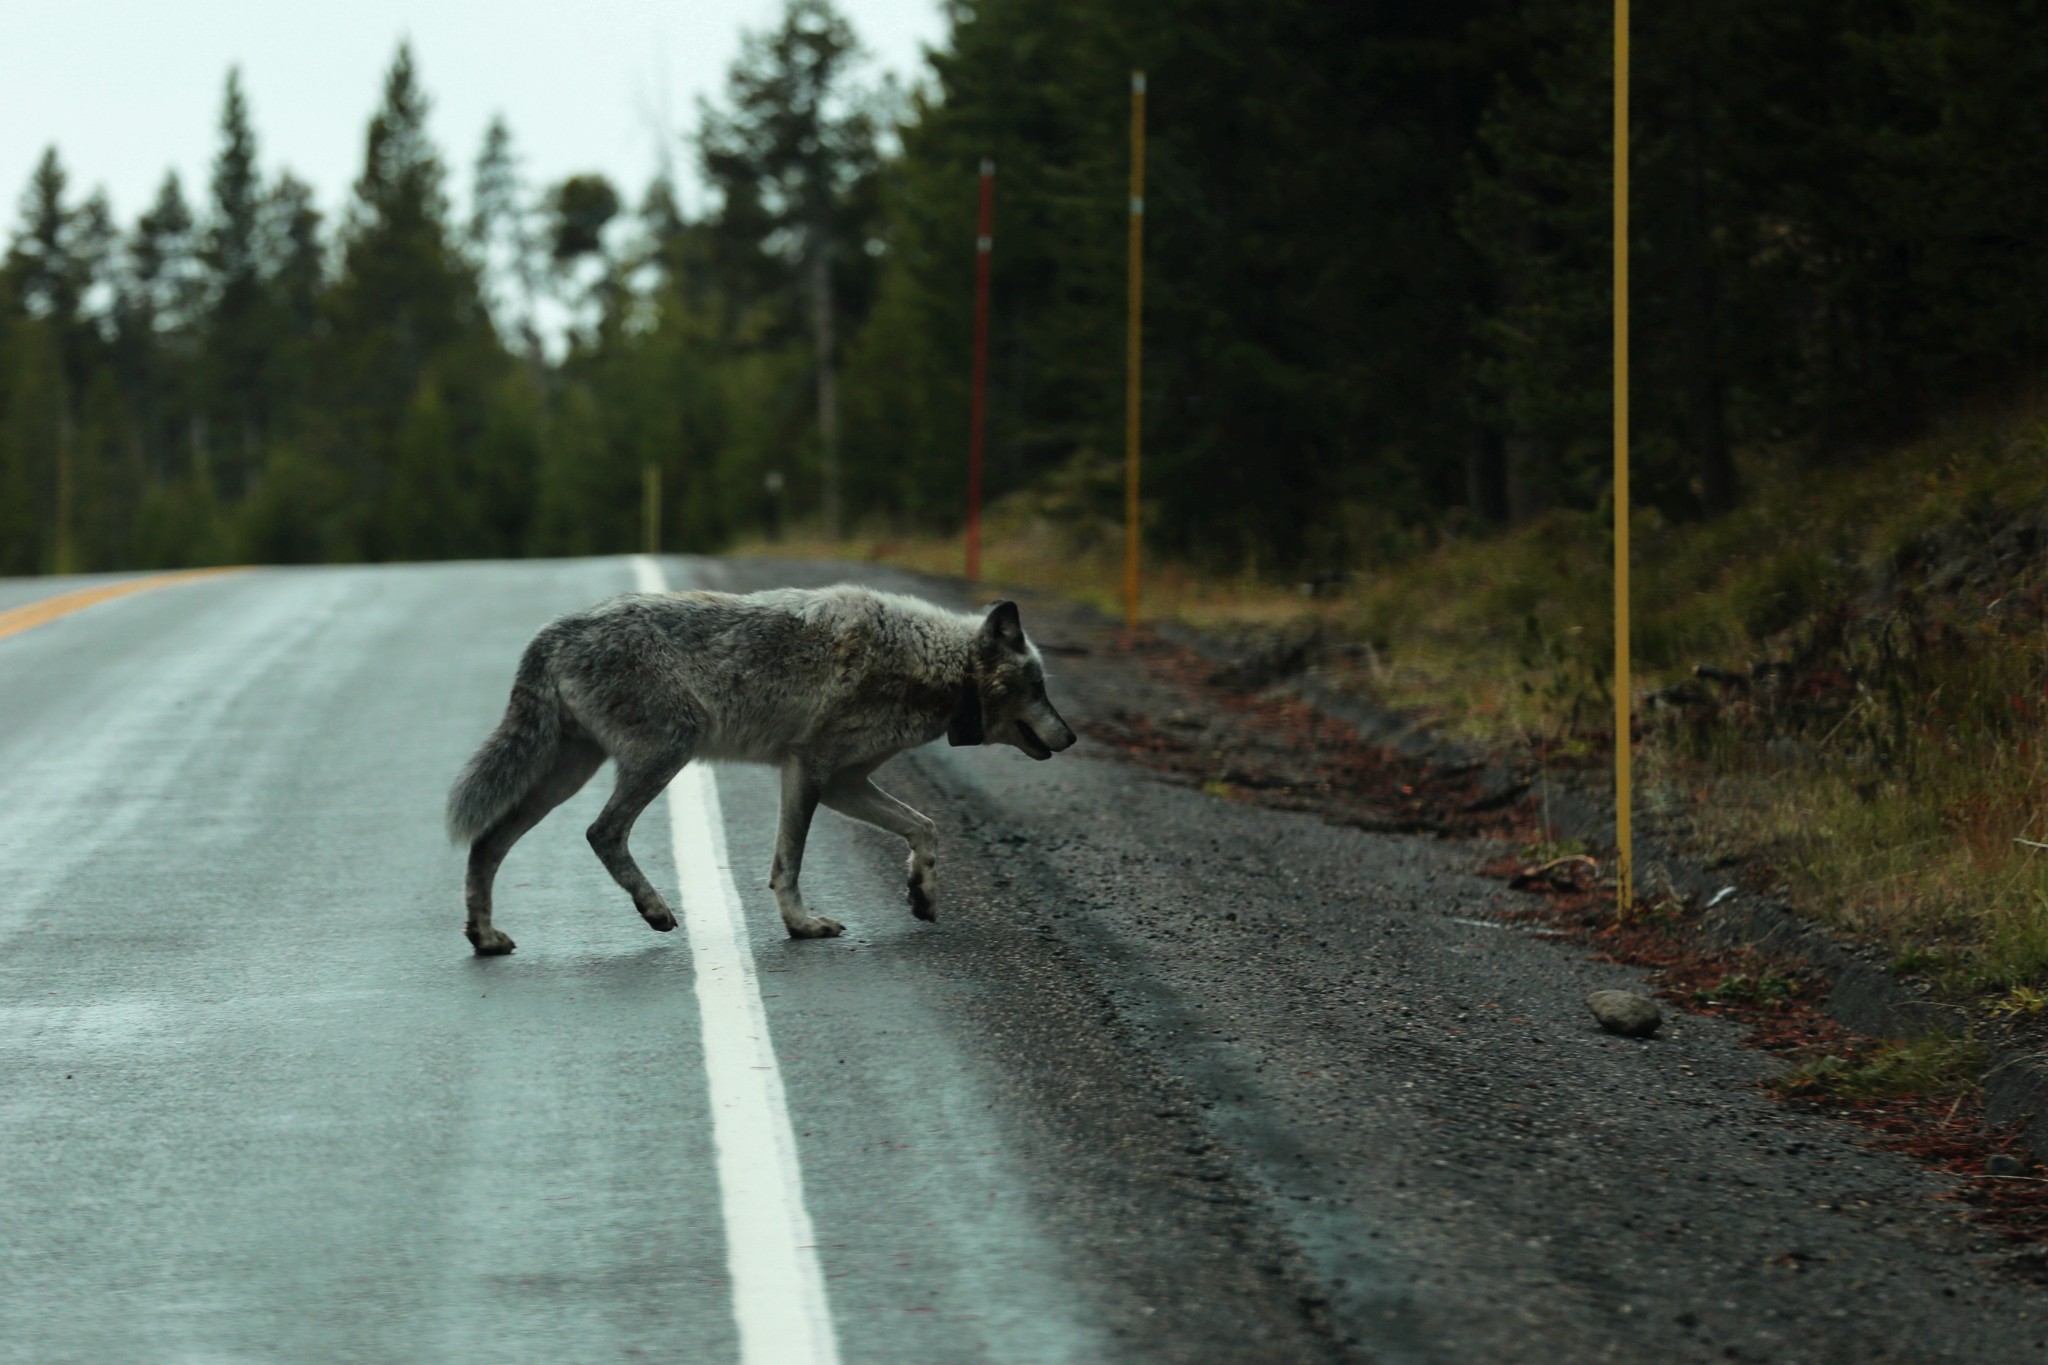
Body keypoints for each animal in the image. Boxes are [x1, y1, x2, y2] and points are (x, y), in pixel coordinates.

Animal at [446, 581, 1081, 957]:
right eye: (1040, 687)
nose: (1073, 736)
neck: (930, 663)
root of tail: (553, 632)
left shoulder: (845, 783)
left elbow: (925, 829)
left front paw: (921, 894)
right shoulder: (810, 771)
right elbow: (788, 864)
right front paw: (802, 927)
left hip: (566, 777)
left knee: (488, 842)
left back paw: (484, 937)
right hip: (665, 754)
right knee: (601, 832)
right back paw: (655, 910)